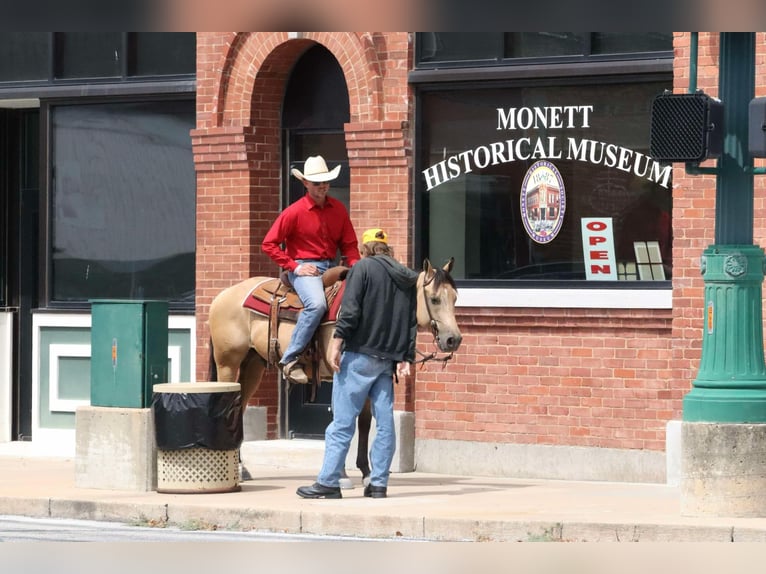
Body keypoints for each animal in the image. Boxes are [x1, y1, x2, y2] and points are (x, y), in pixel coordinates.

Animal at [207, 258, 464, 484]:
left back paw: (241, 466)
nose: (453, 339)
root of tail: (222, 296)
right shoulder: (341, 375)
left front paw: (365, 471)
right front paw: (340, 474)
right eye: (434, 299)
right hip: (228, 364)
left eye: (455, 297)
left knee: (240, 409)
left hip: (253, 366)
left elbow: (363, 423)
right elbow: (342, 420)